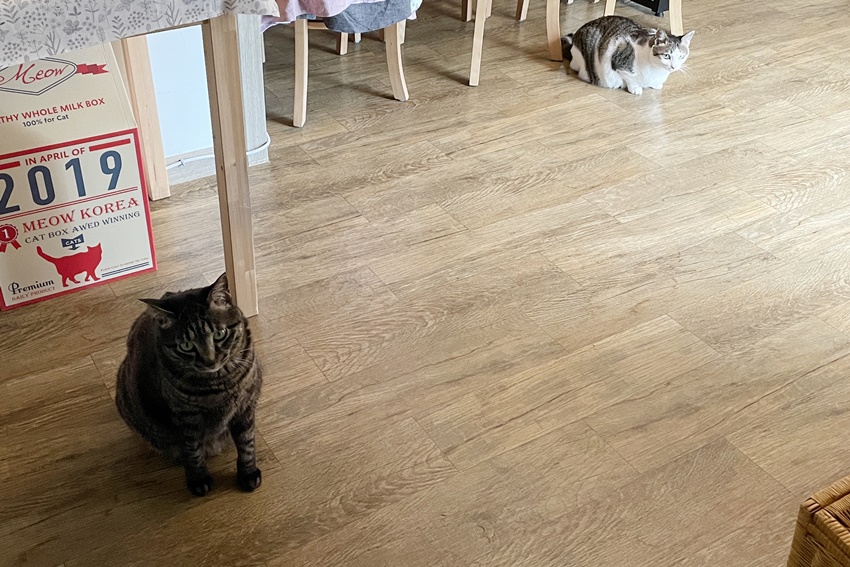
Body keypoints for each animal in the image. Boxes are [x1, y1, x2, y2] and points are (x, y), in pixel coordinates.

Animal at [115, 274, 263, 496]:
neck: (218, 383)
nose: (209, 361)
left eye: (220, 334)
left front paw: (248, 473)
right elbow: (192, 449)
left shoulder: (245, 404)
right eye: (186, 345)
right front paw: (198, 479)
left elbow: (247, 441)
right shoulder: (185, 416)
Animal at [562, 15, 694, 95]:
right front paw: (635, 88)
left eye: (681, 56)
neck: (658, 71)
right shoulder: (618, 59)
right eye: (667, 56)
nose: (674, 67)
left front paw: (656, 85)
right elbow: (630, 78)